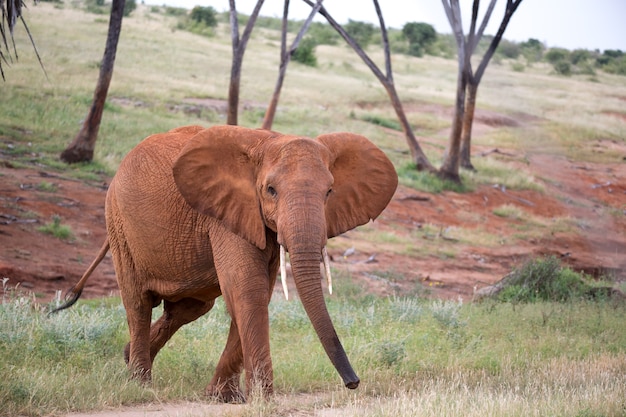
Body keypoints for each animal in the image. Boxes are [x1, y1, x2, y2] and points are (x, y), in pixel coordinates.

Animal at [52, 123, 394, 400]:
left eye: (329, 192)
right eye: (271, 190)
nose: (353, 383)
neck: (267, 142)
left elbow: (254, 293)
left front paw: (224, 397)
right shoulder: (225, 214)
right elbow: (247, 289)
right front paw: (263, 399)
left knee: (188, 308)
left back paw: (128, 357)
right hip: (119, 223)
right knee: (138, 303)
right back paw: (140, 383)